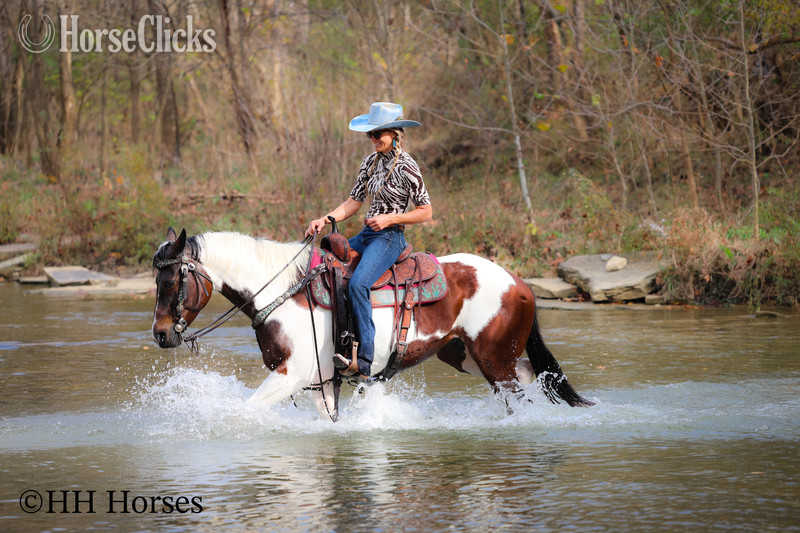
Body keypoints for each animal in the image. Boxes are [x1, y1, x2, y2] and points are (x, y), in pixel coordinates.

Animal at [151, 227, 594, 420]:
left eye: (170, 281)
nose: (159, 335)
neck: (283, 293)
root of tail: (519, 283)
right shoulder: (321, 381)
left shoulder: (292, 374)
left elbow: (247, 409)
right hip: (467, 355)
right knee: (533, 378)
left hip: (494, 361)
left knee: (520, 394)